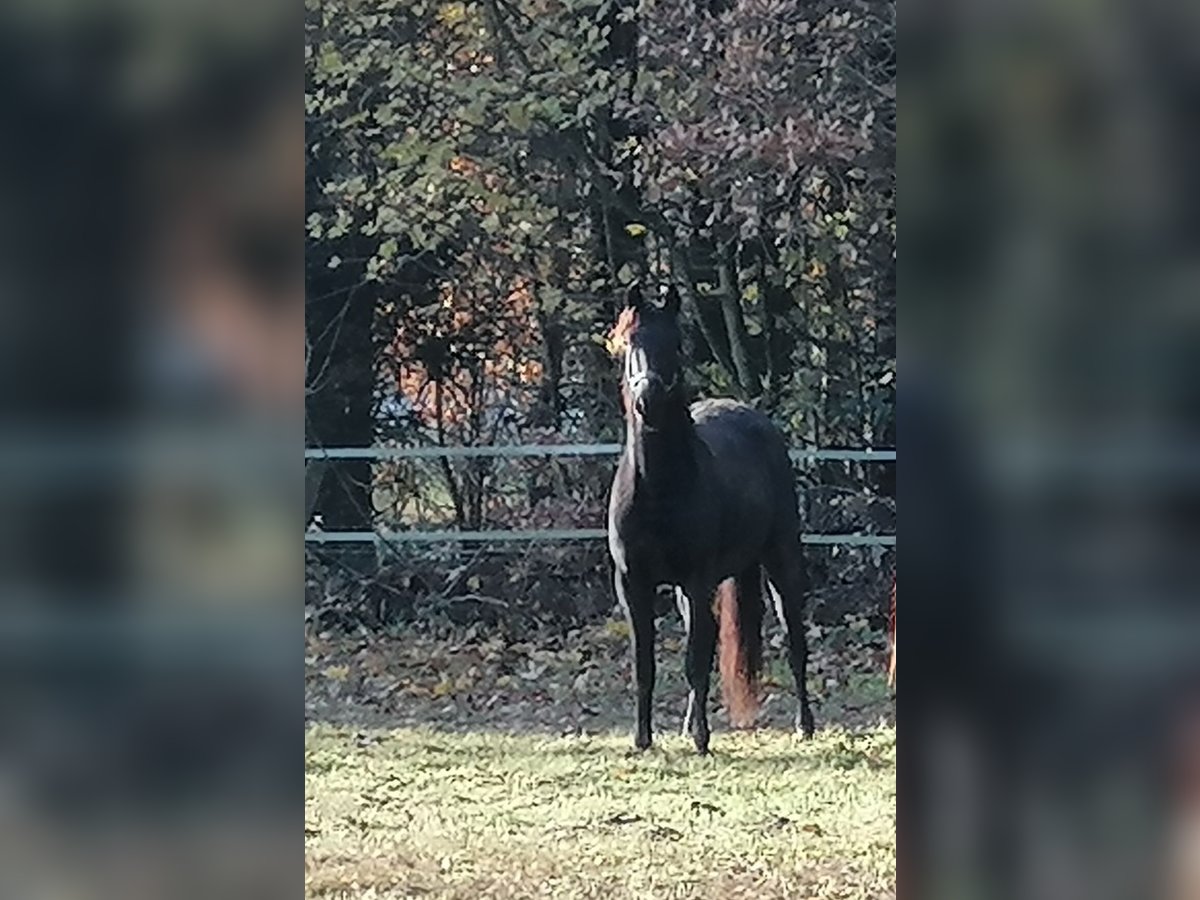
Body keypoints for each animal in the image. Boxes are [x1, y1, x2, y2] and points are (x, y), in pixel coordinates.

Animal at [604, 283, 811, 753]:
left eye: (675, 344)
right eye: (630, 342)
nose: (647, 401)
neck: (658, 489)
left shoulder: (697, 580)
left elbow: (694, 660)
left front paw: (701, 739)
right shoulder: (633, 584)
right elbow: (645, 663)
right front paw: (643, 739)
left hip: (780, 561)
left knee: (793, 637)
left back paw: (804, 724)